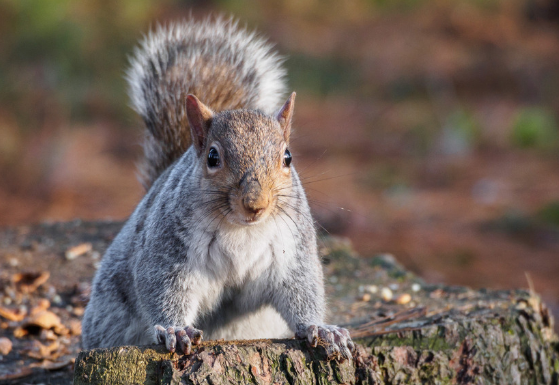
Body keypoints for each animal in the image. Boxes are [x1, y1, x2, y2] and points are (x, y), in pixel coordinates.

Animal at [82, 15, 354, 360]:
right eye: (213, 157)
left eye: (288, 158)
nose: (255, 204)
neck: (242, 230)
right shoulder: (168, 252)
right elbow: (162, 288)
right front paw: (176, 329)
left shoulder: (291, 252)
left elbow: (302, 290)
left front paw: (322, 329)